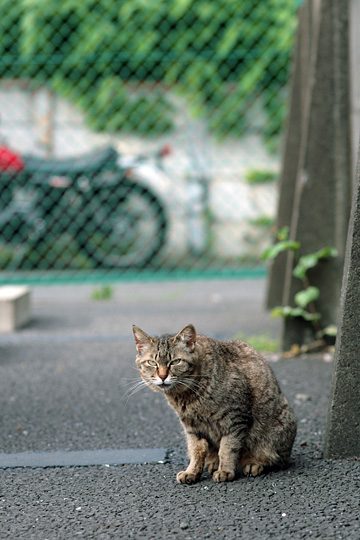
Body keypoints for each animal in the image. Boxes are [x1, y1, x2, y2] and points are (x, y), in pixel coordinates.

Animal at [132, 322, 296, 484]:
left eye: (176, 362)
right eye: (152, 363)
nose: (162, 376)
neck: (187, 396)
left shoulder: (235, 418)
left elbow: (227, 448)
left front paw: (225, 470)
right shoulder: (191, 427)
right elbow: (196, 450)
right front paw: (191, 472)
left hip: (276, 431)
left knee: (276, 459)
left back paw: (254, 463)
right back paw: (212, 463)